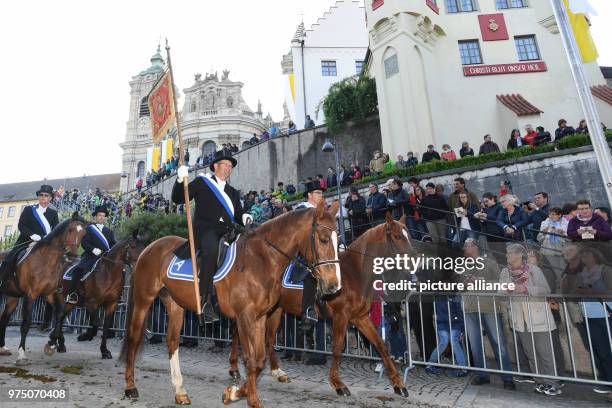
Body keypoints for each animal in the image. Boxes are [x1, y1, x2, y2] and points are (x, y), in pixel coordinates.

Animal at [0, 215, 86, 364]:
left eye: (83, 234)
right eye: (70, 229)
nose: (72, 255)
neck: (46, 261)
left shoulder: (50, 294)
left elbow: (59, 315)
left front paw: (51, 345)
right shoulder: (30, 295)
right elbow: (26, 323)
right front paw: (22, 354)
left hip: (12, 297)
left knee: (4, 318)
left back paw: (3, 348)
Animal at [117, 201, 342, 408]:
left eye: (337, 239)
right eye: (323, 239)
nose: (334, 285)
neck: (259, 261)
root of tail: (150, 247)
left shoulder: (259, 318)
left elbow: (259, 359)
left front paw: (236, 393)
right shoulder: (245, 317)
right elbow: (250, 359)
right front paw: (247, 397)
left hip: (174, 304)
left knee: (172, 342)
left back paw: (180, 392)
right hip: (143, 300)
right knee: (134, 338)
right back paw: (130, 387)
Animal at [231, 212, 416, 396]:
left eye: (408, 236)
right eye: (397, 236)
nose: (414, 265)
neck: (354, 273)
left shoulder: (361, 318)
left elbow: (381, 346)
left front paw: (398, 384)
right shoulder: (341, 316)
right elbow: (337, 348)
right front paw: (337, 383)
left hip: (275, 310)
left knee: (268, 338)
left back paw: (276, 371)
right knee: (239, 334)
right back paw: (234, 368)